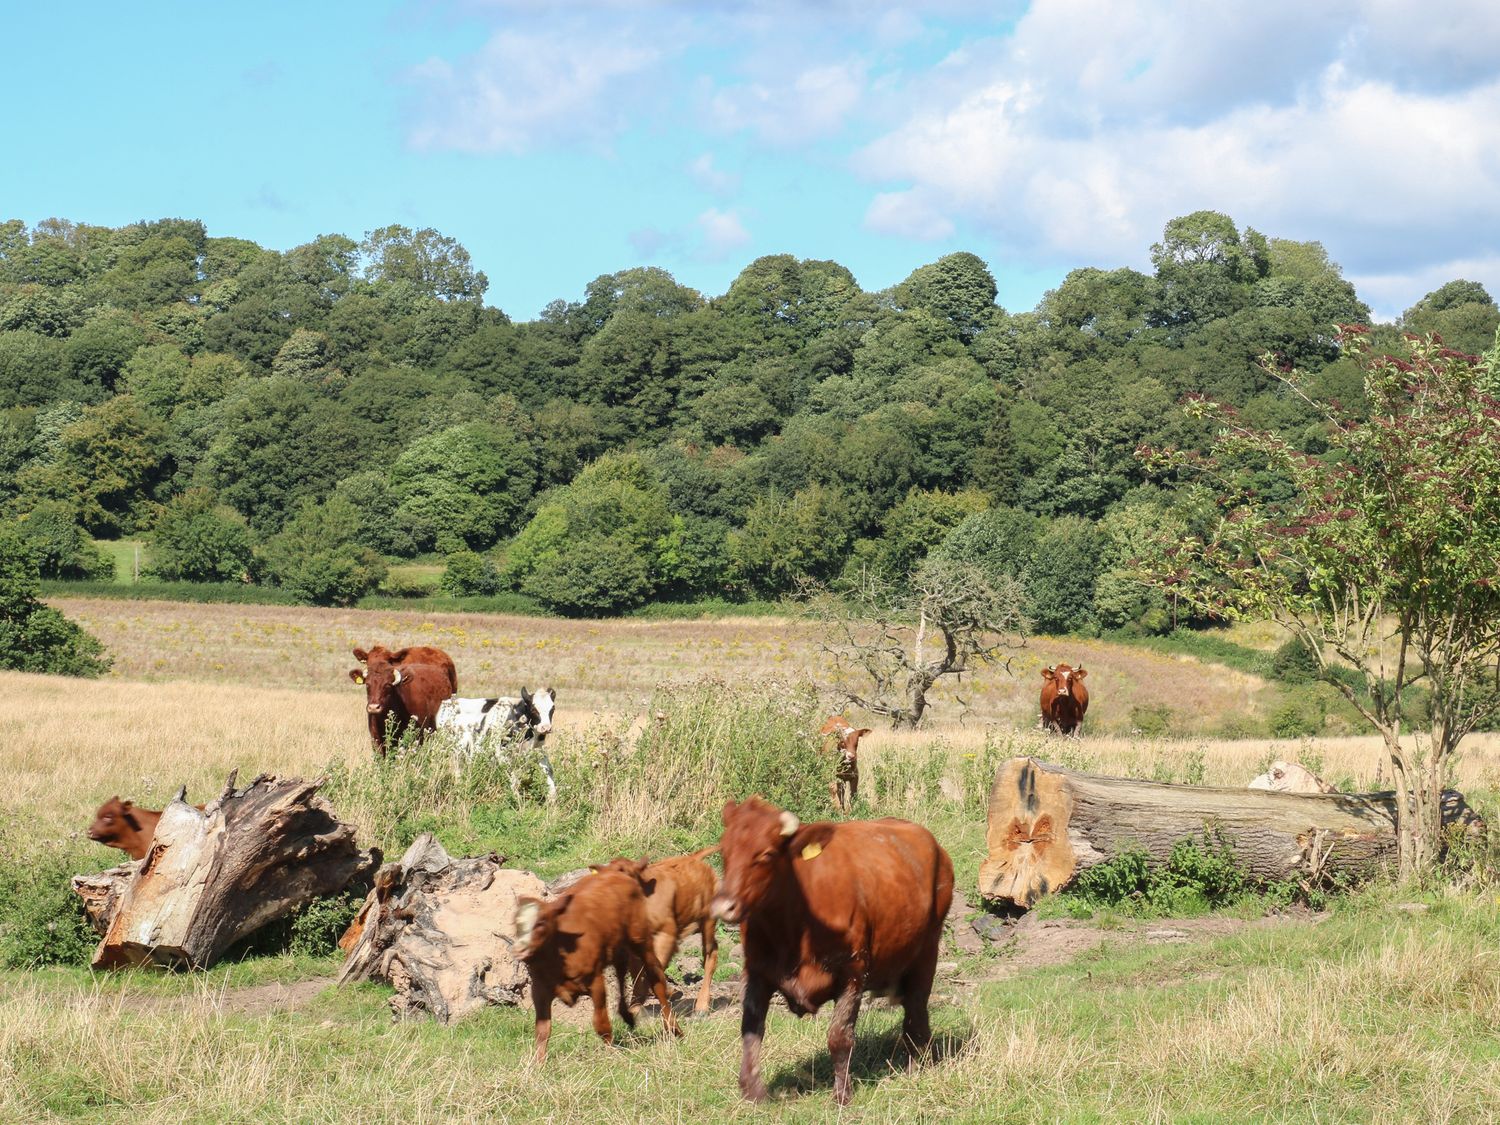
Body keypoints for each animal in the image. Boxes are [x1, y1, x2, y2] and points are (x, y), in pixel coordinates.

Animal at [513, 864, 684, 1068]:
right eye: (515, 923)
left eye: (540, 922)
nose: (519, 950)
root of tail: (615, 872)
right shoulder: (539, 990)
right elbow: (542, 1030)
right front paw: (538, 1064)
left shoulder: (595, 981)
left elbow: (600, 1023)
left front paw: (610, 1053)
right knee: (621, 970)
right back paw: (627, 1015)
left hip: (640, 937)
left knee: (655, 975)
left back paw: (673, 1028)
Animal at [591, 846, 720, 1020]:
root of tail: (693, 858)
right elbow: (638, 974)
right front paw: (635, 1006)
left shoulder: (666, 935)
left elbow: (653, 969)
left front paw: (669, 992)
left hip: (708, 920)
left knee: (710, 953)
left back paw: (701, 1007)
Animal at [711, 798, 948, 1104]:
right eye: (724, 851)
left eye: (766, 854)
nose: (723, 906)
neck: (793, 927)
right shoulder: (757, 972)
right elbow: (751, 1029)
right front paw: (752, 1090)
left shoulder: (853, 972)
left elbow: (839, 1035)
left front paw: (842, 1094)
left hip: (928, 948)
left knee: (916, 1010)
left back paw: (918, 1061)